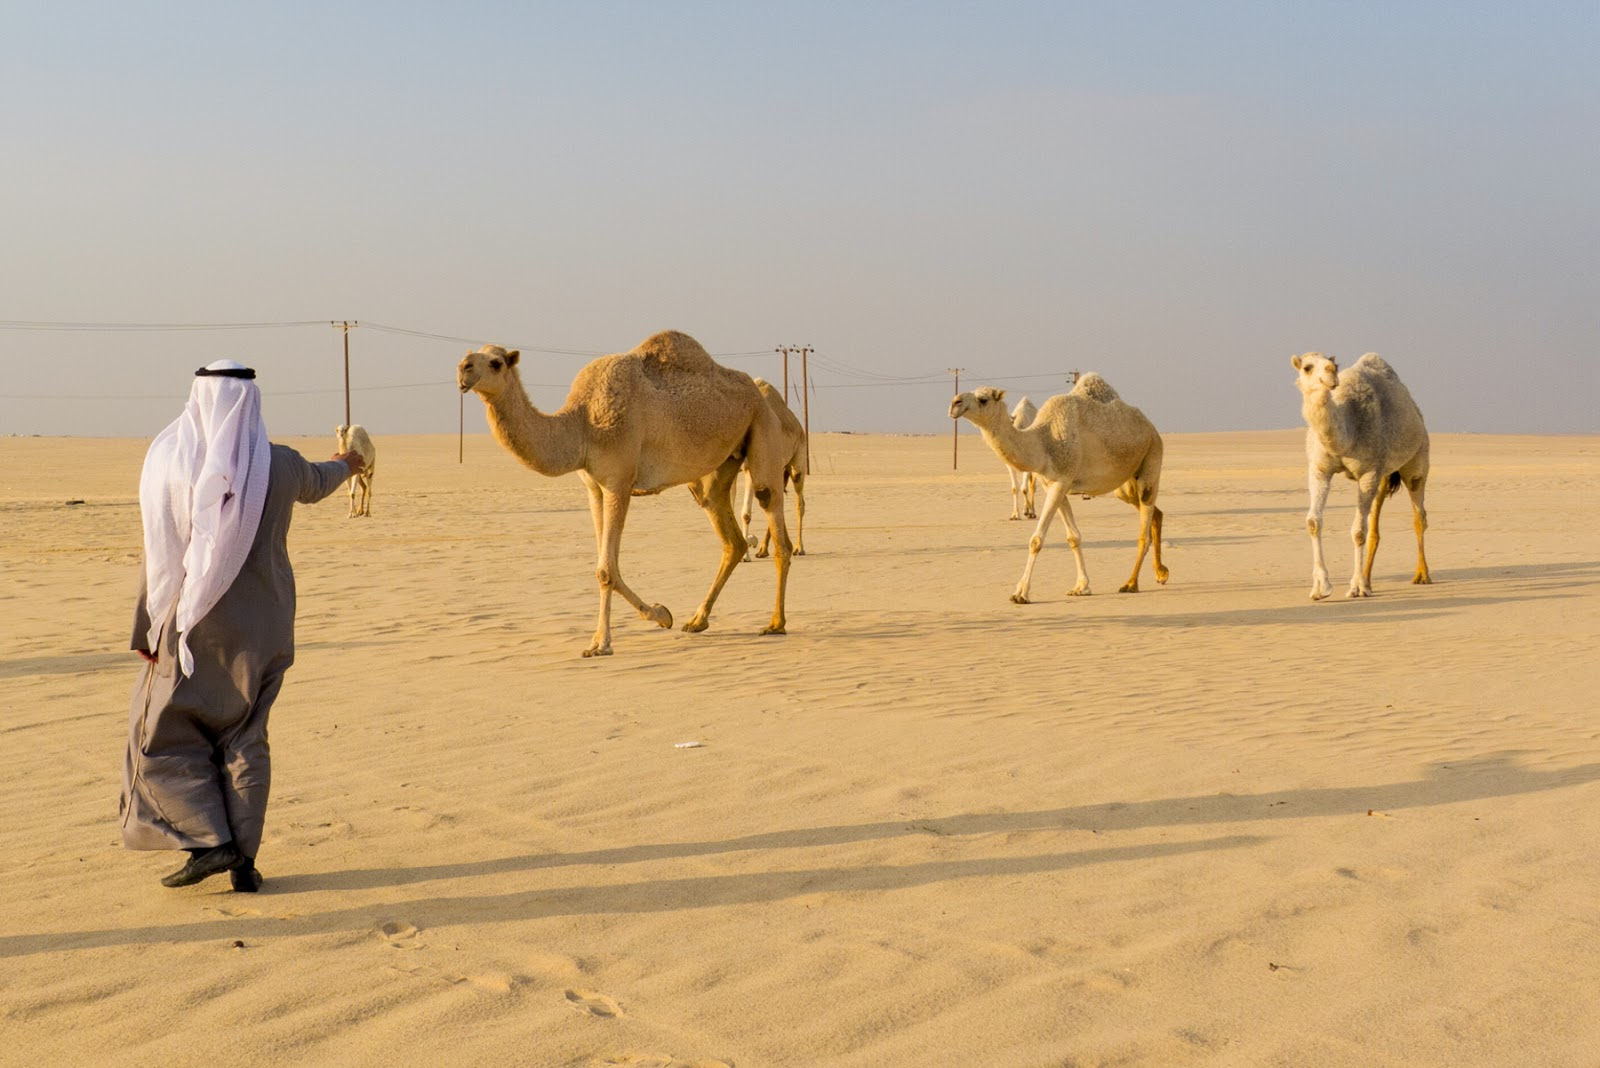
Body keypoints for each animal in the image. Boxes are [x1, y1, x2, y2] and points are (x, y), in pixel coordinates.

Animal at [457, 329, 793, 655]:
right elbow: (608, 567)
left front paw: (602, 643)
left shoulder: (618, 481)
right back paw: (698, 620)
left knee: (772, 510)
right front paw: (661, 614)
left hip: (762, 425)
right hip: (718, 466)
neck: (582, 425)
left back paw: (775, 623)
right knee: (727, 531)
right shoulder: (594, 488)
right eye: (471, 356)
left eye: (496, 363)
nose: (463, 369)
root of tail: (757, 392)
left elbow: (606, 570)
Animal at [739, 375, 806, 559]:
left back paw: (799, 547)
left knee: (800, 502)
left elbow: (746, 513)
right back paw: (765, 549)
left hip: (797, 462)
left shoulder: (750, 470)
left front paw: (745, 555)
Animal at [947, 377, 1164, 604]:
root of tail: (1151, 427)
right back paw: (1161, 573)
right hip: (1125, 483)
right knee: (1155, 512)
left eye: (983, 399)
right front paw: (1081, 587)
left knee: (1145, 522)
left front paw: (1021, 593)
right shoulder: (1054, 483)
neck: (1043, 442)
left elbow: (1036, 540)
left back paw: (1131, 583)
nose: (955, 403)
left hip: (1152, 454)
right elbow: (1073, 537)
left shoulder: (1062, 480)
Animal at [1292, 351, 1433, 597]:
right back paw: (1368, 579)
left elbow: (1358, 531)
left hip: (1417, 459)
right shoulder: (1320, 469)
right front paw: (1320, 587)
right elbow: (1313, 522)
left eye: (1334, 364)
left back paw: (1421, 575)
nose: (1330, 371)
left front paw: (1356, 587)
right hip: (1383, 475)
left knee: (1419, 516)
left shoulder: (1368, 472)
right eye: (1307, 367)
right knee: (1375, 525)